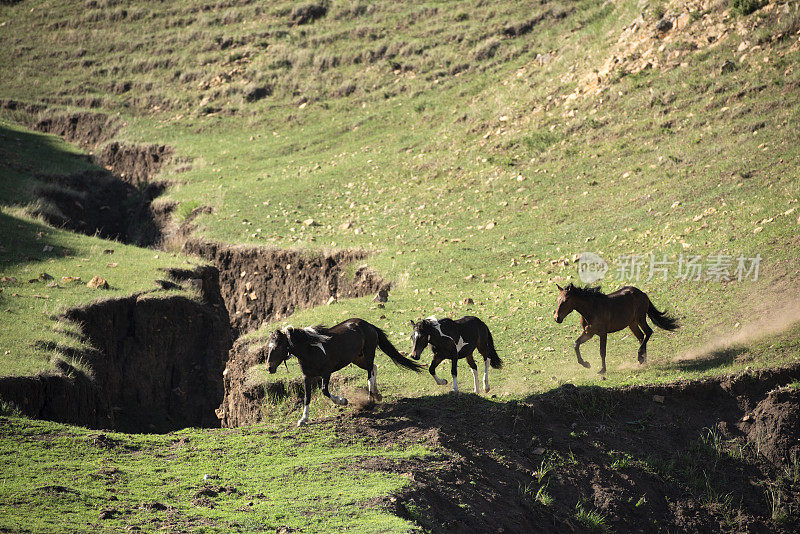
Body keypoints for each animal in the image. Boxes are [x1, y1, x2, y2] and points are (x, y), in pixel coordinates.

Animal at [266, 318, 424, 428]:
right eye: (269, 346)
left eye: (278, 346)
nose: (268, 368)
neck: (311, 349)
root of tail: (368, 325)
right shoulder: (306, 377)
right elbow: (307, 397)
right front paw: (303, 420)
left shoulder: (326, 373)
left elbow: (324, 391)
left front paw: (343, 401)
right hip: (357, 358)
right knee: (374, 368)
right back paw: (377, 395)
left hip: (368, 353)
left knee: (370, 374)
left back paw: (370, 400)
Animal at [552, 284, 680, 376]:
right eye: (557, 300)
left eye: (566, 300)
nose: (557, 318)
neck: (591, 310)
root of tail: (642, 293)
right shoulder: (588, 333)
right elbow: (576, 344)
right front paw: (586, 364)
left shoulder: (603, 334)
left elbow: (602, 351)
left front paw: (602, 370)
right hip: (632, 323)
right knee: (641, 337)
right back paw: (644, 361)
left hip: (640, 318)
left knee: (648, 332)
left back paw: (640, 357)